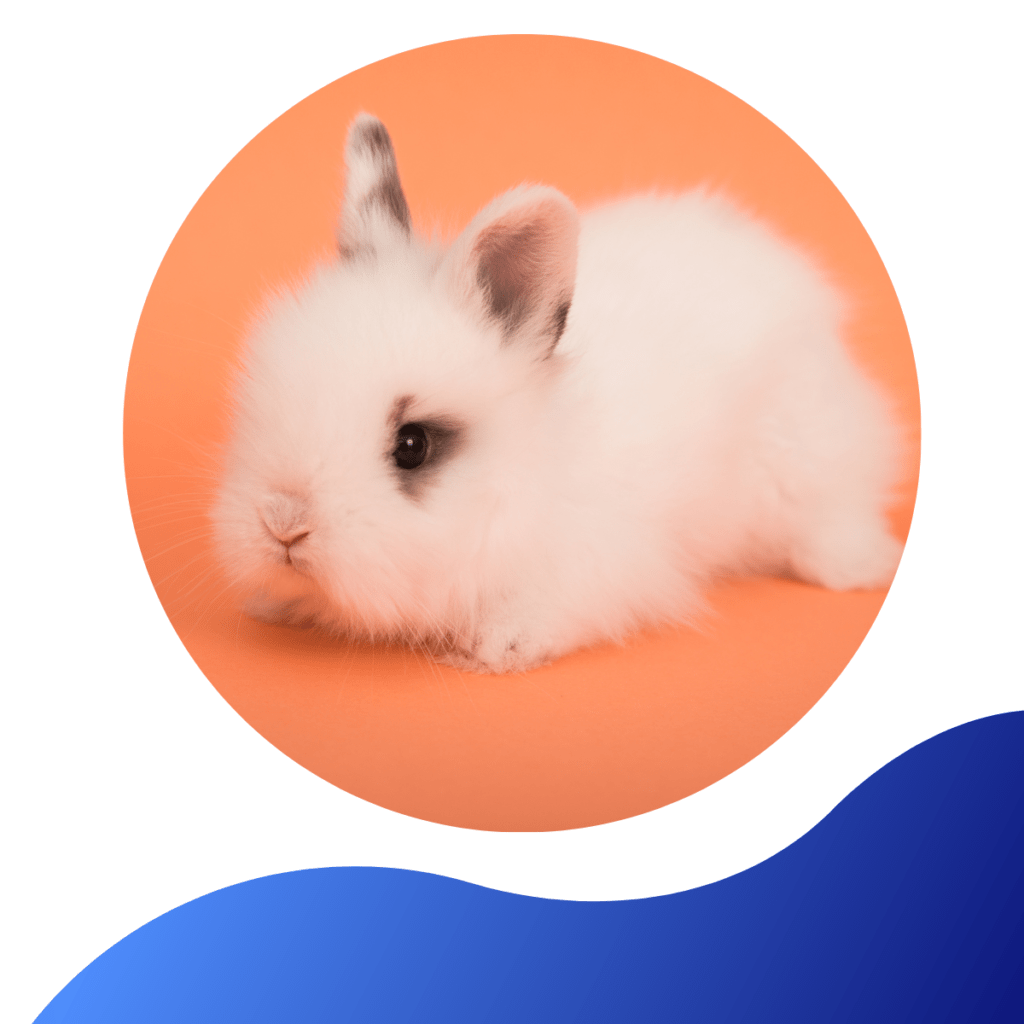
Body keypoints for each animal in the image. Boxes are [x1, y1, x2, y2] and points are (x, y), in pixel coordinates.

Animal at [212, 113, 906, 674]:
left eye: (412, 445)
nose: (283, 524)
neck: (523, 473)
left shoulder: (601, 565)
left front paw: (500, 647)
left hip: (810, 461)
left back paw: (857, 568)